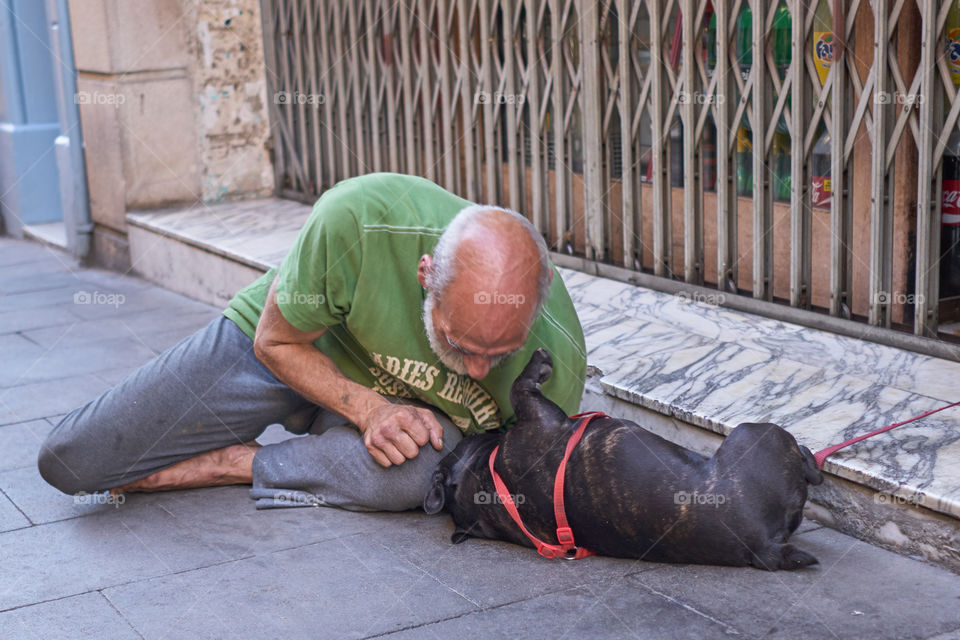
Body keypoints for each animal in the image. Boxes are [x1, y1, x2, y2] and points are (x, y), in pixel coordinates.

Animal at [426, 350, 824, 568]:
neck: (489, 482)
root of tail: (763, 547)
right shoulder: (535, 415)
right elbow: (519, 385)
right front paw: (539, 362)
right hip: (758, 433)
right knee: (808, 464)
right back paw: (814, 462)